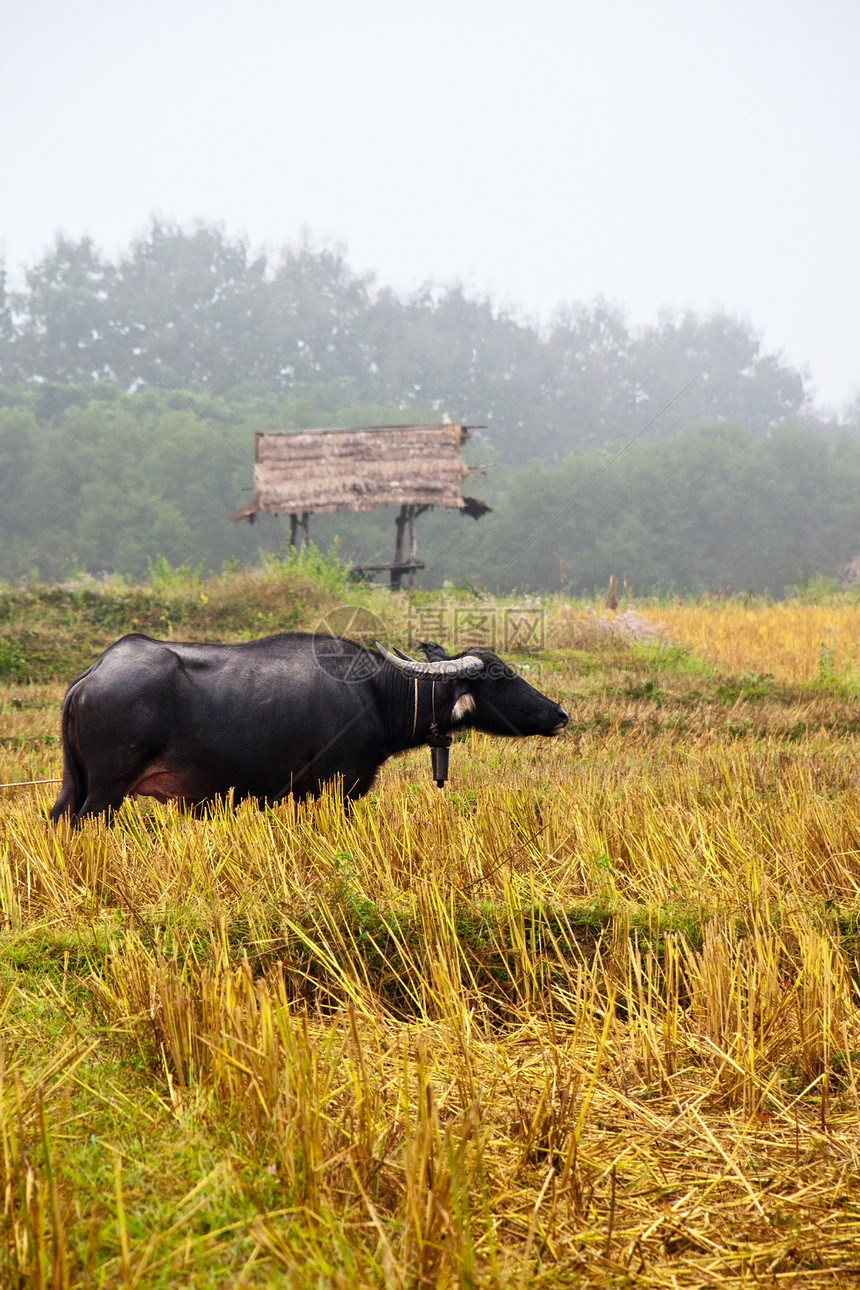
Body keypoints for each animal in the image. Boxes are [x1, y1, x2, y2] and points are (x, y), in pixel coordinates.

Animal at [50, 634, 567, 825]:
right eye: (502, 675)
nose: (559, 714)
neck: (374, 696)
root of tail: (93, 674)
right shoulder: (339, 785)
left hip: (74, 784)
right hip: (106, 790)